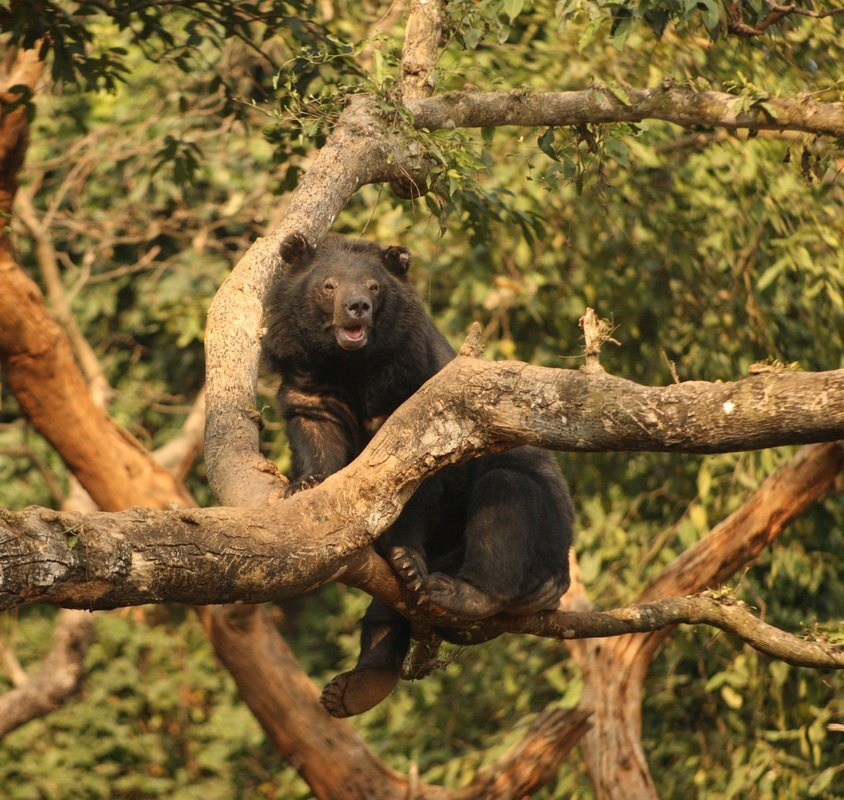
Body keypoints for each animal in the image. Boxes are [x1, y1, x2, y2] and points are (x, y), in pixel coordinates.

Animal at [266, 233, 572, 720]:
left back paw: (457, 591)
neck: (351, 364)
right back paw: (354, 688)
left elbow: (415, 486)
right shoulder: (306, 374)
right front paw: (306, 486)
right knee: (383, 615)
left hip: (541, 536)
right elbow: (315, 426)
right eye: (328, 286)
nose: (357, 308)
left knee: (507, 496)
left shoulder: (412, 388)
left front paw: (406, 560)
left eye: (373, 287)